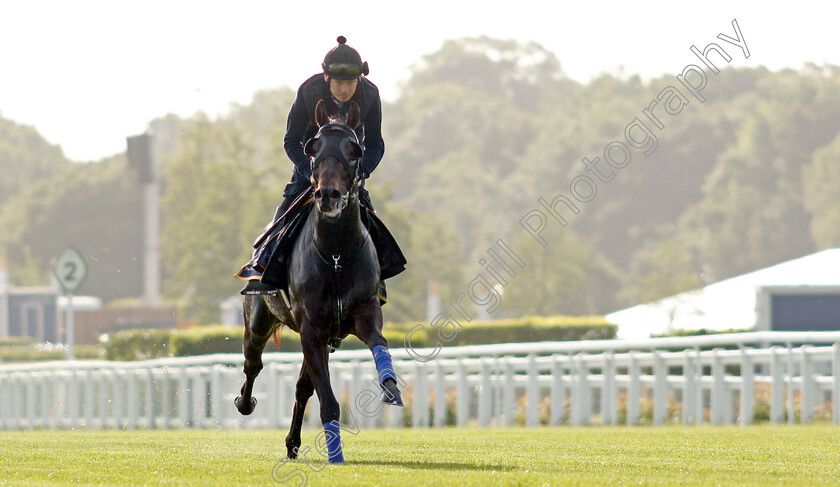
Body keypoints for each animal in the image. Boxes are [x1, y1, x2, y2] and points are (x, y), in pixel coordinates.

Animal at [233, 99, 404, 466]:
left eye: (354, 150)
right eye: (313, 148)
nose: (328, 195)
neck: (336, 253)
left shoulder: (363, 311)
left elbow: (379, 343)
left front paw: (390, 385)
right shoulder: (311, 325)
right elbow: (327, 397)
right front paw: (335, 453)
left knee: (302, 387)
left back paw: (292, 442)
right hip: (258, 320)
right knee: (253, 363)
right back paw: (244, 402)